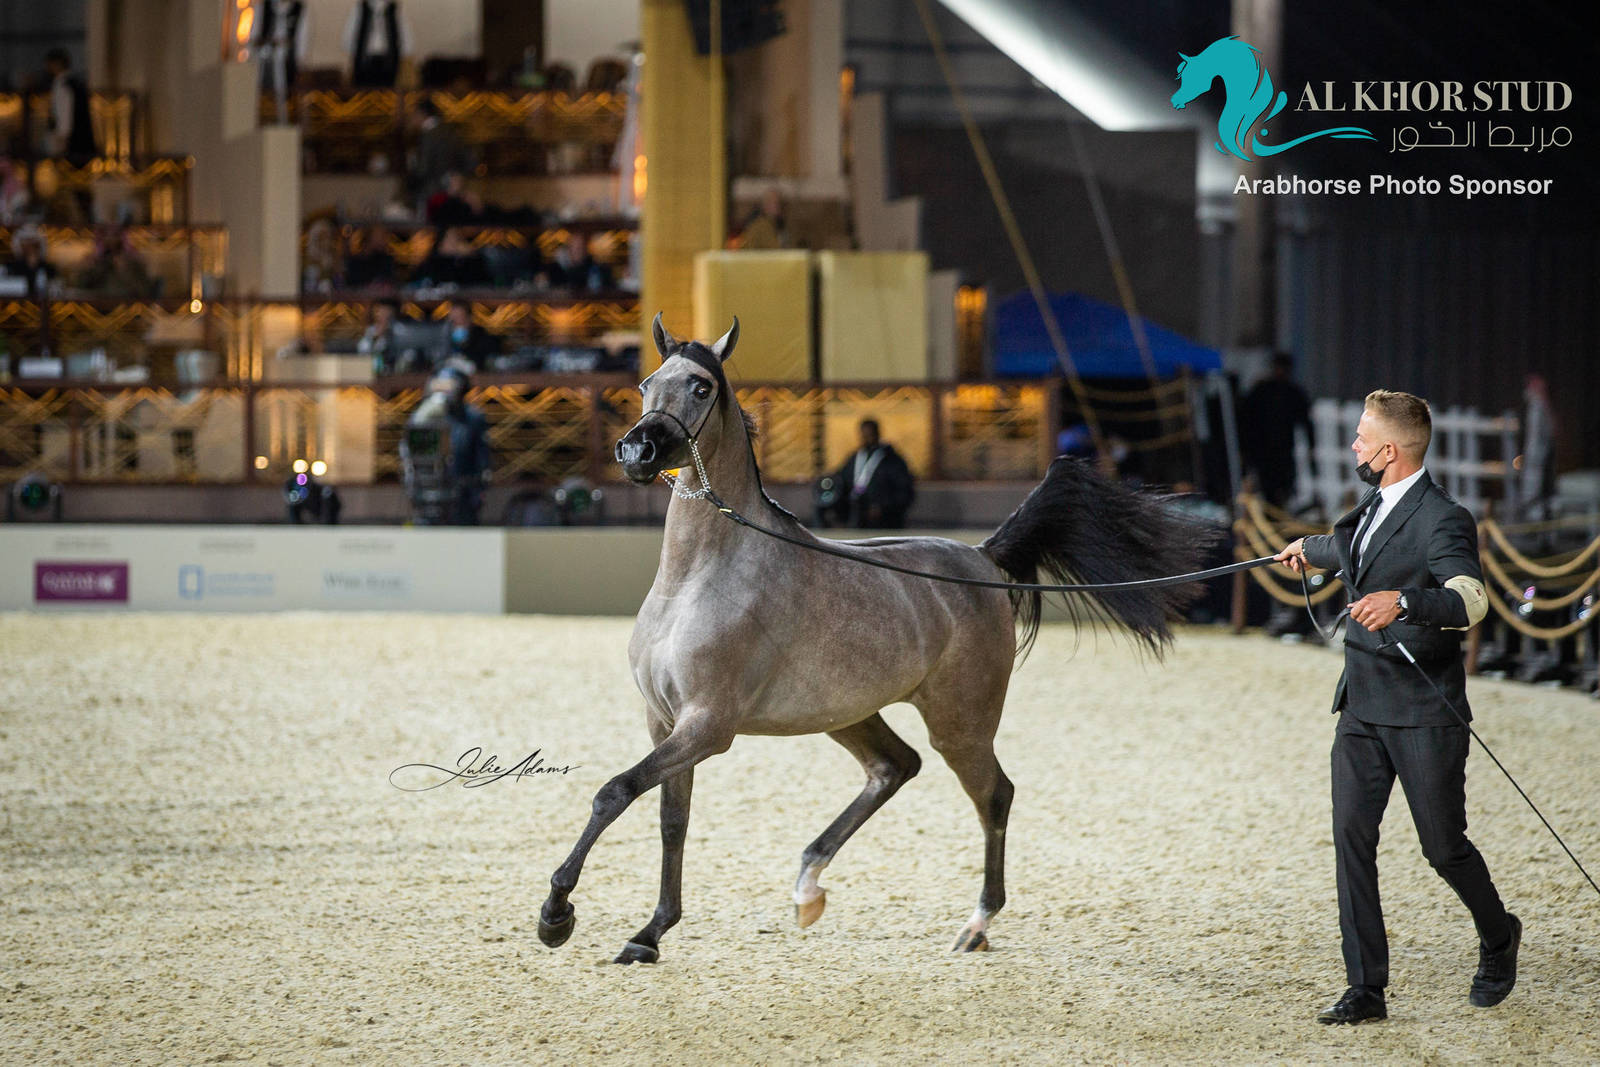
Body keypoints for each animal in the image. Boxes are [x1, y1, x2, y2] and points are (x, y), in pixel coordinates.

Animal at [537, 314, 1217, 964]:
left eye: (701, 386)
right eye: (647, 384)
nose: (637, 451)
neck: (697, 579)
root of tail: (981, 558)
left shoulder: (708, 726)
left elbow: (614, 792)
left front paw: (557, 914)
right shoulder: (666, 723)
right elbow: (670, 820)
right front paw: (648, 935)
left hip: (960, 722)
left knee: (993, 795)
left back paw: (975, 927)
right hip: (850, 714)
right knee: (895, 767)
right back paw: (809, 888)